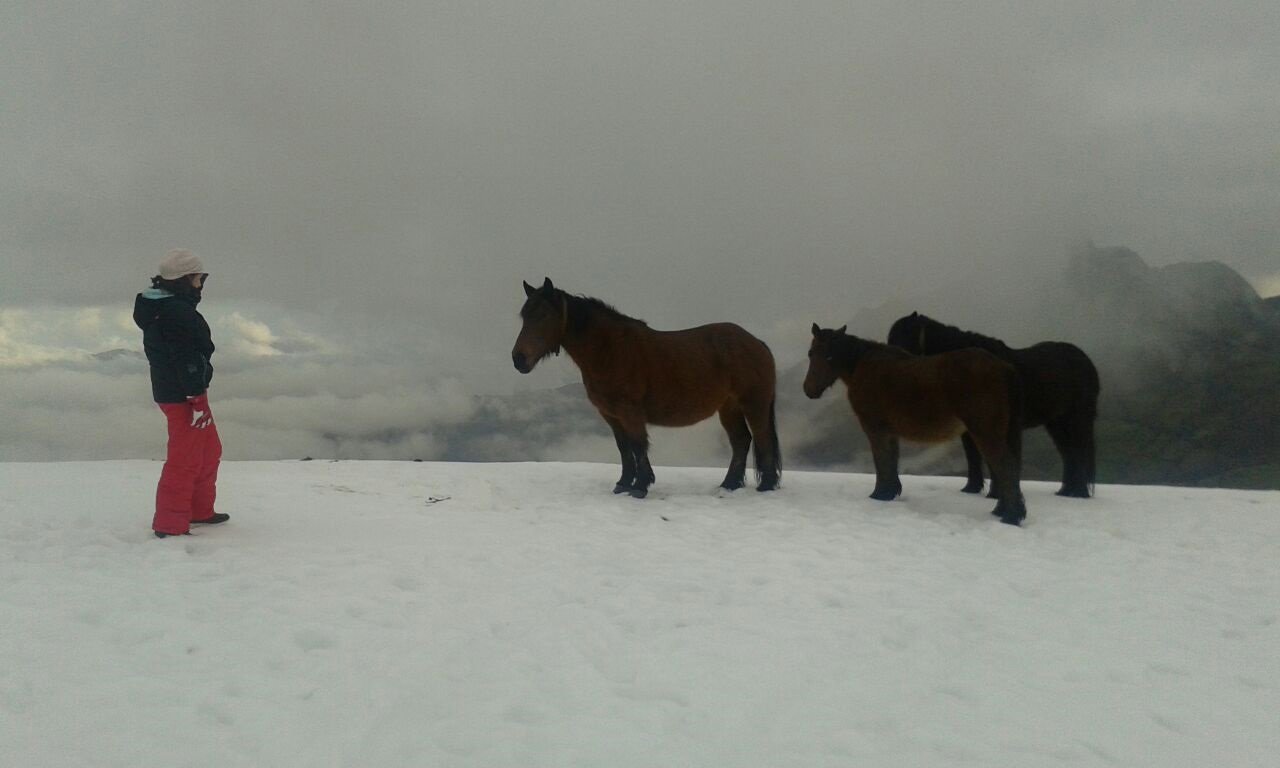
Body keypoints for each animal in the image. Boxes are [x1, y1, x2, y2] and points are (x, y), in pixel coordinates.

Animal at [511, 278, 781, 498]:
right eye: (525, 316)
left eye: (544, 315)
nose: (518, 359)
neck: (609, 351)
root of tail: (757, 342)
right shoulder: (611, 415)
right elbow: (624, 447)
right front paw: (623, 483)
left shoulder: (630, 412)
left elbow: (638, 444)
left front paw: (640, 485)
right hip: (729, 408)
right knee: (741, 441)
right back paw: (729, 485)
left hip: (754, 405)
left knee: (761, 438)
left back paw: (765, 486)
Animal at [803, 324, 1028, 525]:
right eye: (811, 353)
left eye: (827, 355)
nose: (809, 389)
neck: (863, 365)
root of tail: (1005, 367)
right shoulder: (890, 432)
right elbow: (891, 461)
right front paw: (889, 493)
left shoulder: (875, 430)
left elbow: (882, 461)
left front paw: (879, 494)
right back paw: (1002, 510)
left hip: (986, 433)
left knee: (1006, 467)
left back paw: (1011, 516)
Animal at [887, 312, 1099, 498]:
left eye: (902, 337)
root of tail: (1086, 361)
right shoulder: (968, 430)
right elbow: (973, 457)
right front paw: (972, 489)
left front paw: (994, 493)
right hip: (1056, 424)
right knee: (1069, 454)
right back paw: (1066, 491)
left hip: (1078, 420)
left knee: (1079, 452)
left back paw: (1078, 493)